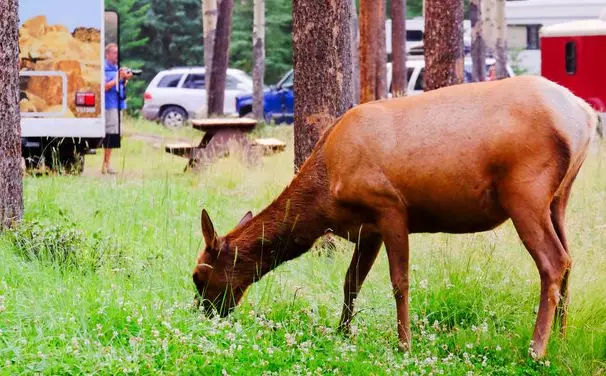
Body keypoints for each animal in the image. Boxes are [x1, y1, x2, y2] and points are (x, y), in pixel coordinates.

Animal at [194, 75, 600, 358]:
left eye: (199, 276)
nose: (203, 315)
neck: (325, 195)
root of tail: (584, 116)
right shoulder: (367, 229)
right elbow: (351, 282)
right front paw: (342, 333)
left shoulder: (389, 206)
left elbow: (398, 281)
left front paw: (404, 345)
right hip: (559, 197)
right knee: (569, 259)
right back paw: (562, 337)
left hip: (525, 192)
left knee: (553, 261)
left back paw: (537, 348)